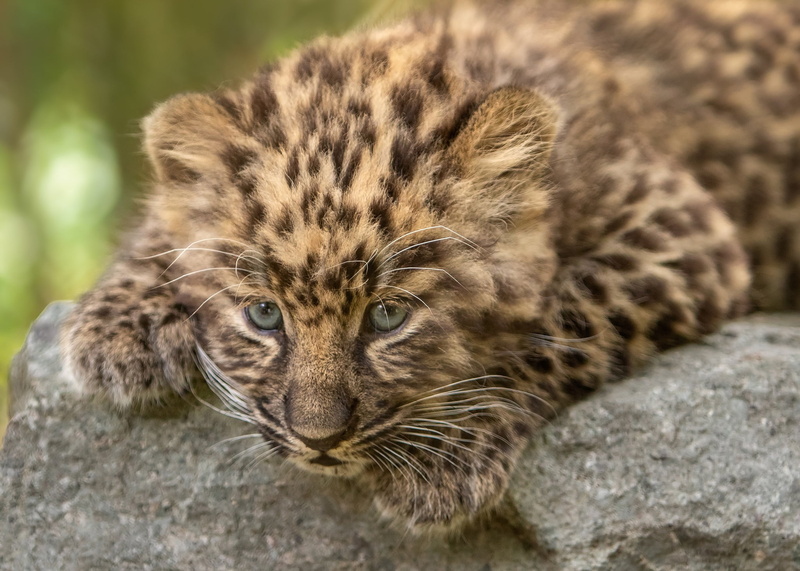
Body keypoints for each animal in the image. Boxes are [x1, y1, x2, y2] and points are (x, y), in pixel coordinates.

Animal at [61, 0, 800, 533]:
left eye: (389, 316)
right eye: (264, 315)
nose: (319, 439)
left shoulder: (680, 231)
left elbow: (570, 314)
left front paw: (440, 457)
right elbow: (163, 222)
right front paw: (116, 329)